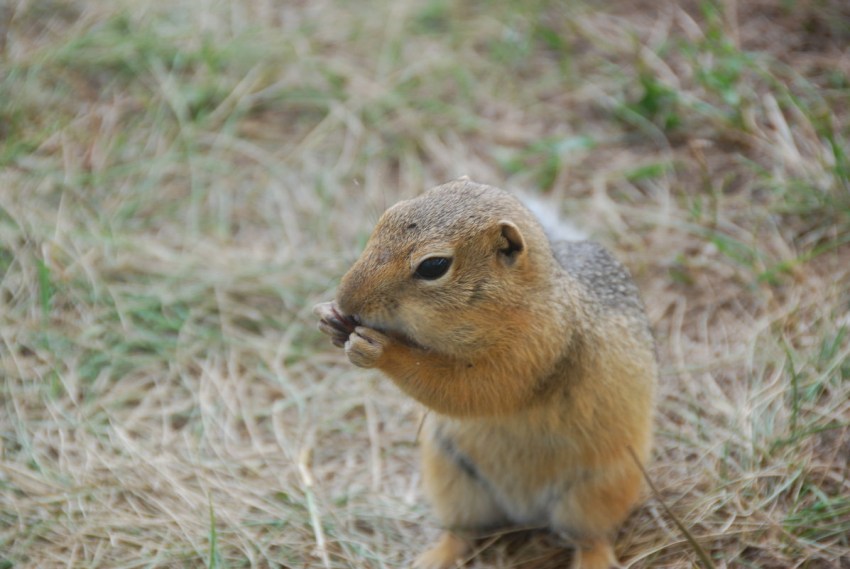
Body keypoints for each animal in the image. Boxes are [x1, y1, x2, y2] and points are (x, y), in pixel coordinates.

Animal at [314, 180, 652, 568]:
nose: (346, 299)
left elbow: (472, 390)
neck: (524, 299)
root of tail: (524, 510)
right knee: (463, 533)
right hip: (454, 479)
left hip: (595, 492)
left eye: (434, 266)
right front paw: (330, 318)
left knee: (591, 538)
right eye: (386, 216)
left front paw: (381, 349)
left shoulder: (535, 347)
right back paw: (434, 556)